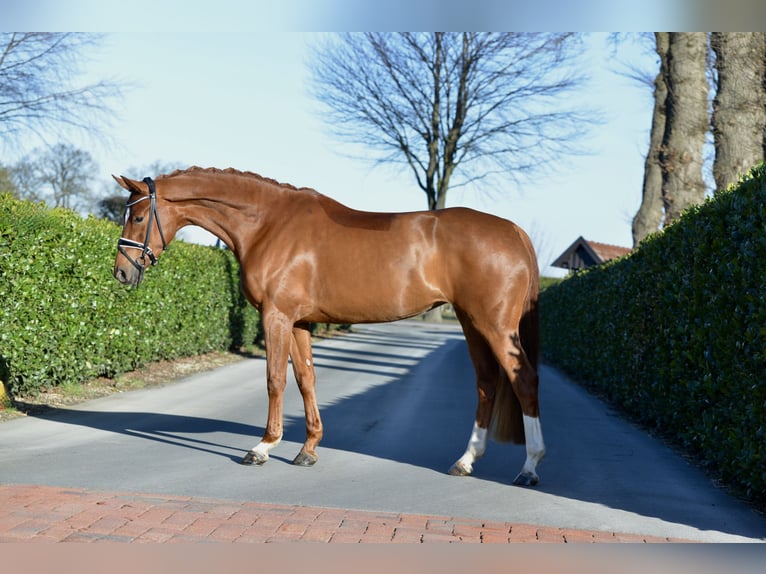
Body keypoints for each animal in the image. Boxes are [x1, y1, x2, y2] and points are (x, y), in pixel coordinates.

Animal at [112, 167, 545, 486]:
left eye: (138, 216)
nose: (121, 273)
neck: (268, 224)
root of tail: (514, 232)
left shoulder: (276, 316)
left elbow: (275, 379)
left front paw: (263, 447)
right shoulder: (300, 321)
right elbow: (306, 379)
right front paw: (308, 450)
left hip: (494, 325)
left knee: (523, 381)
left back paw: (529, 467)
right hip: (472, 323)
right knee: (487, 384)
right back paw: (466, 460)